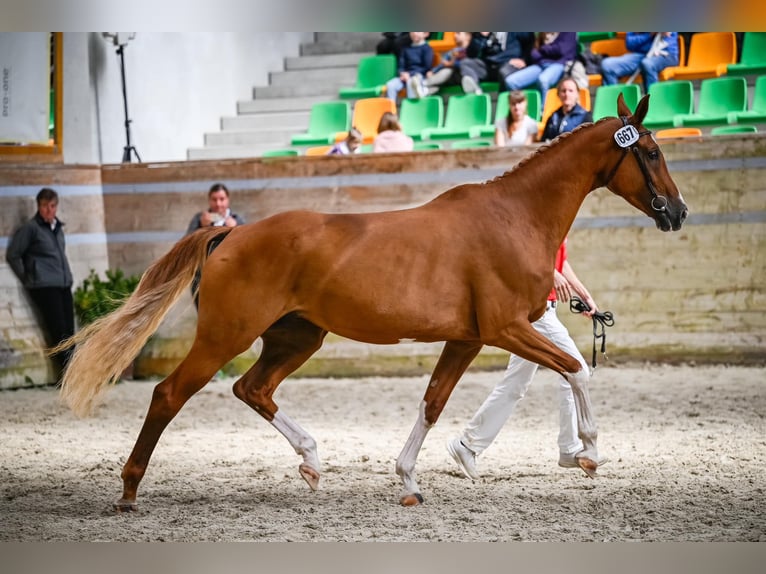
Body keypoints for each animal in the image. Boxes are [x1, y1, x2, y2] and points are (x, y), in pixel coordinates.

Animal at [55, 95, 688, 512]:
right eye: (652, 152)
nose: (678, 212)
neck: (514, 216)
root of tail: (230, 232)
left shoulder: (468, 337)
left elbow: (433, 403)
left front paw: (408, 482)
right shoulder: (505, 328)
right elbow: (577, 368)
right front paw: (589, 452)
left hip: (297, 336)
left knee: (252, 389)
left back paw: (312, 462)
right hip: (224, 337)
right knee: (170, 395)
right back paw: (129, 490)